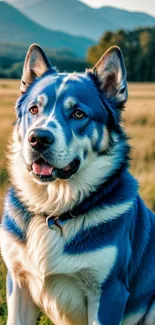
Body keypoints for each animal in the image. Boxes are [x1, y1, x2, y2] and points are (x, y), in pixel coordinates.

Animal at [1, 43, 155, 324]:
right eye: (34, 110)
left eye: (78, 113)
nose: (38, 139)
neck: (54, 210)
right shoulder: (17, 282)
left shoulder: (110, 291)